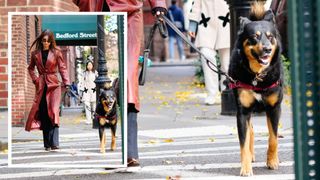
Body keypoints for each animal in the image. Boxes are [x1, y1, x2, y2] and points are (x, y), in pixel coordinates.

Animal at [229, 2, 284, 176]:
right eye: (254, 37)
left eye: (270, 36)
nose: (267, 49)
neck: (257, 76)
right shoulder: (243, 111)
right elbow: (244, 143)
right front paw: (246, 167)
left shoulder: (274, 108)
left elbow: (273, 138)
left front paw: (272, 161)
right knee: (250, 131)